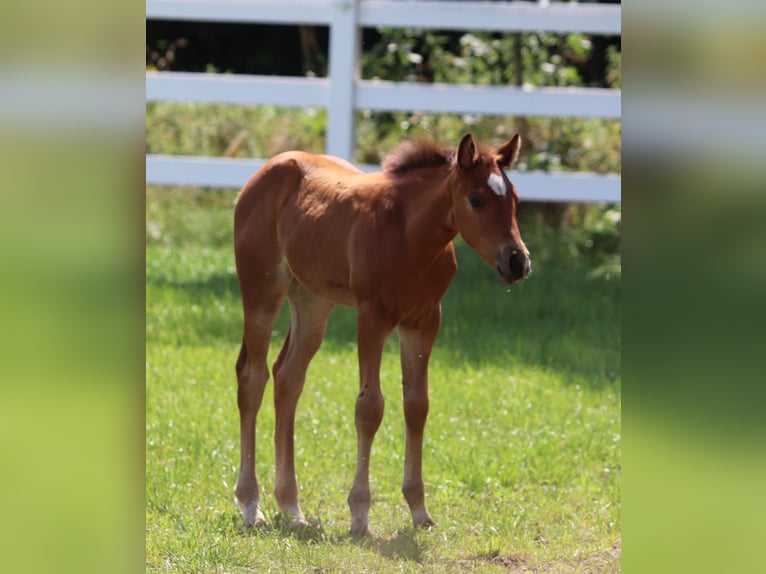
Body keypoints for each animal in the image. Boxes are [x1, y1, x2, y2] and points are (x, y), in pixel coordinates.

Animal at [233, 133, 531, 537]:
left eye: (515, 198)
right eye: (477, 199)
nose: (518, 262)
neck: (410, 236)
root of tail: (263, 172)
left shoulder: (424, 322)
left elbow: (417, 406)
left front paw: (419, 509)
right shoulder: (372, 318)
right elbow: (369, 407)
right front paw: (360, 513)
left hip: (312, 300)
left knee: (287, 377)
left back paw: (292, 507)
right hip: (262, 290)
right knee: (253, 376)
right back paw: (251, 504)